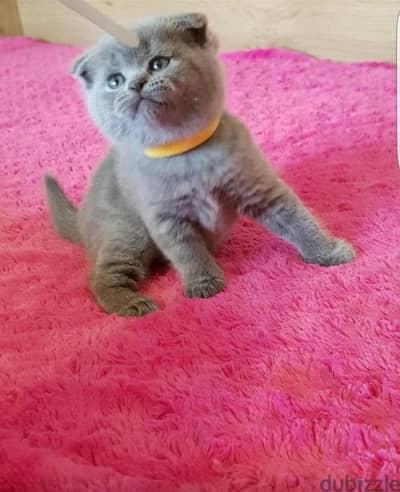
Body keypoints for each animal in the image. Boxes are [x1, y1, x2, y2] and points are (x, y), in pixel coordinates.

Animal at [45, 14, 354, 320]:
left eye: (158, 63)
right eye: (114, 81)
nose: (135, 84)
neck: (185, 154)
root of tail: (80, 219)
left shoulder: (257, 186)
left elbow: (296, 218)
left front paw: (329, 252)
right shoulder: (165, 216)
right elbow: (187, 251)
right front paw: (204, 283)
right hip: (125, 232)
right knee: (100, 278)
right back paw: (132, 304)